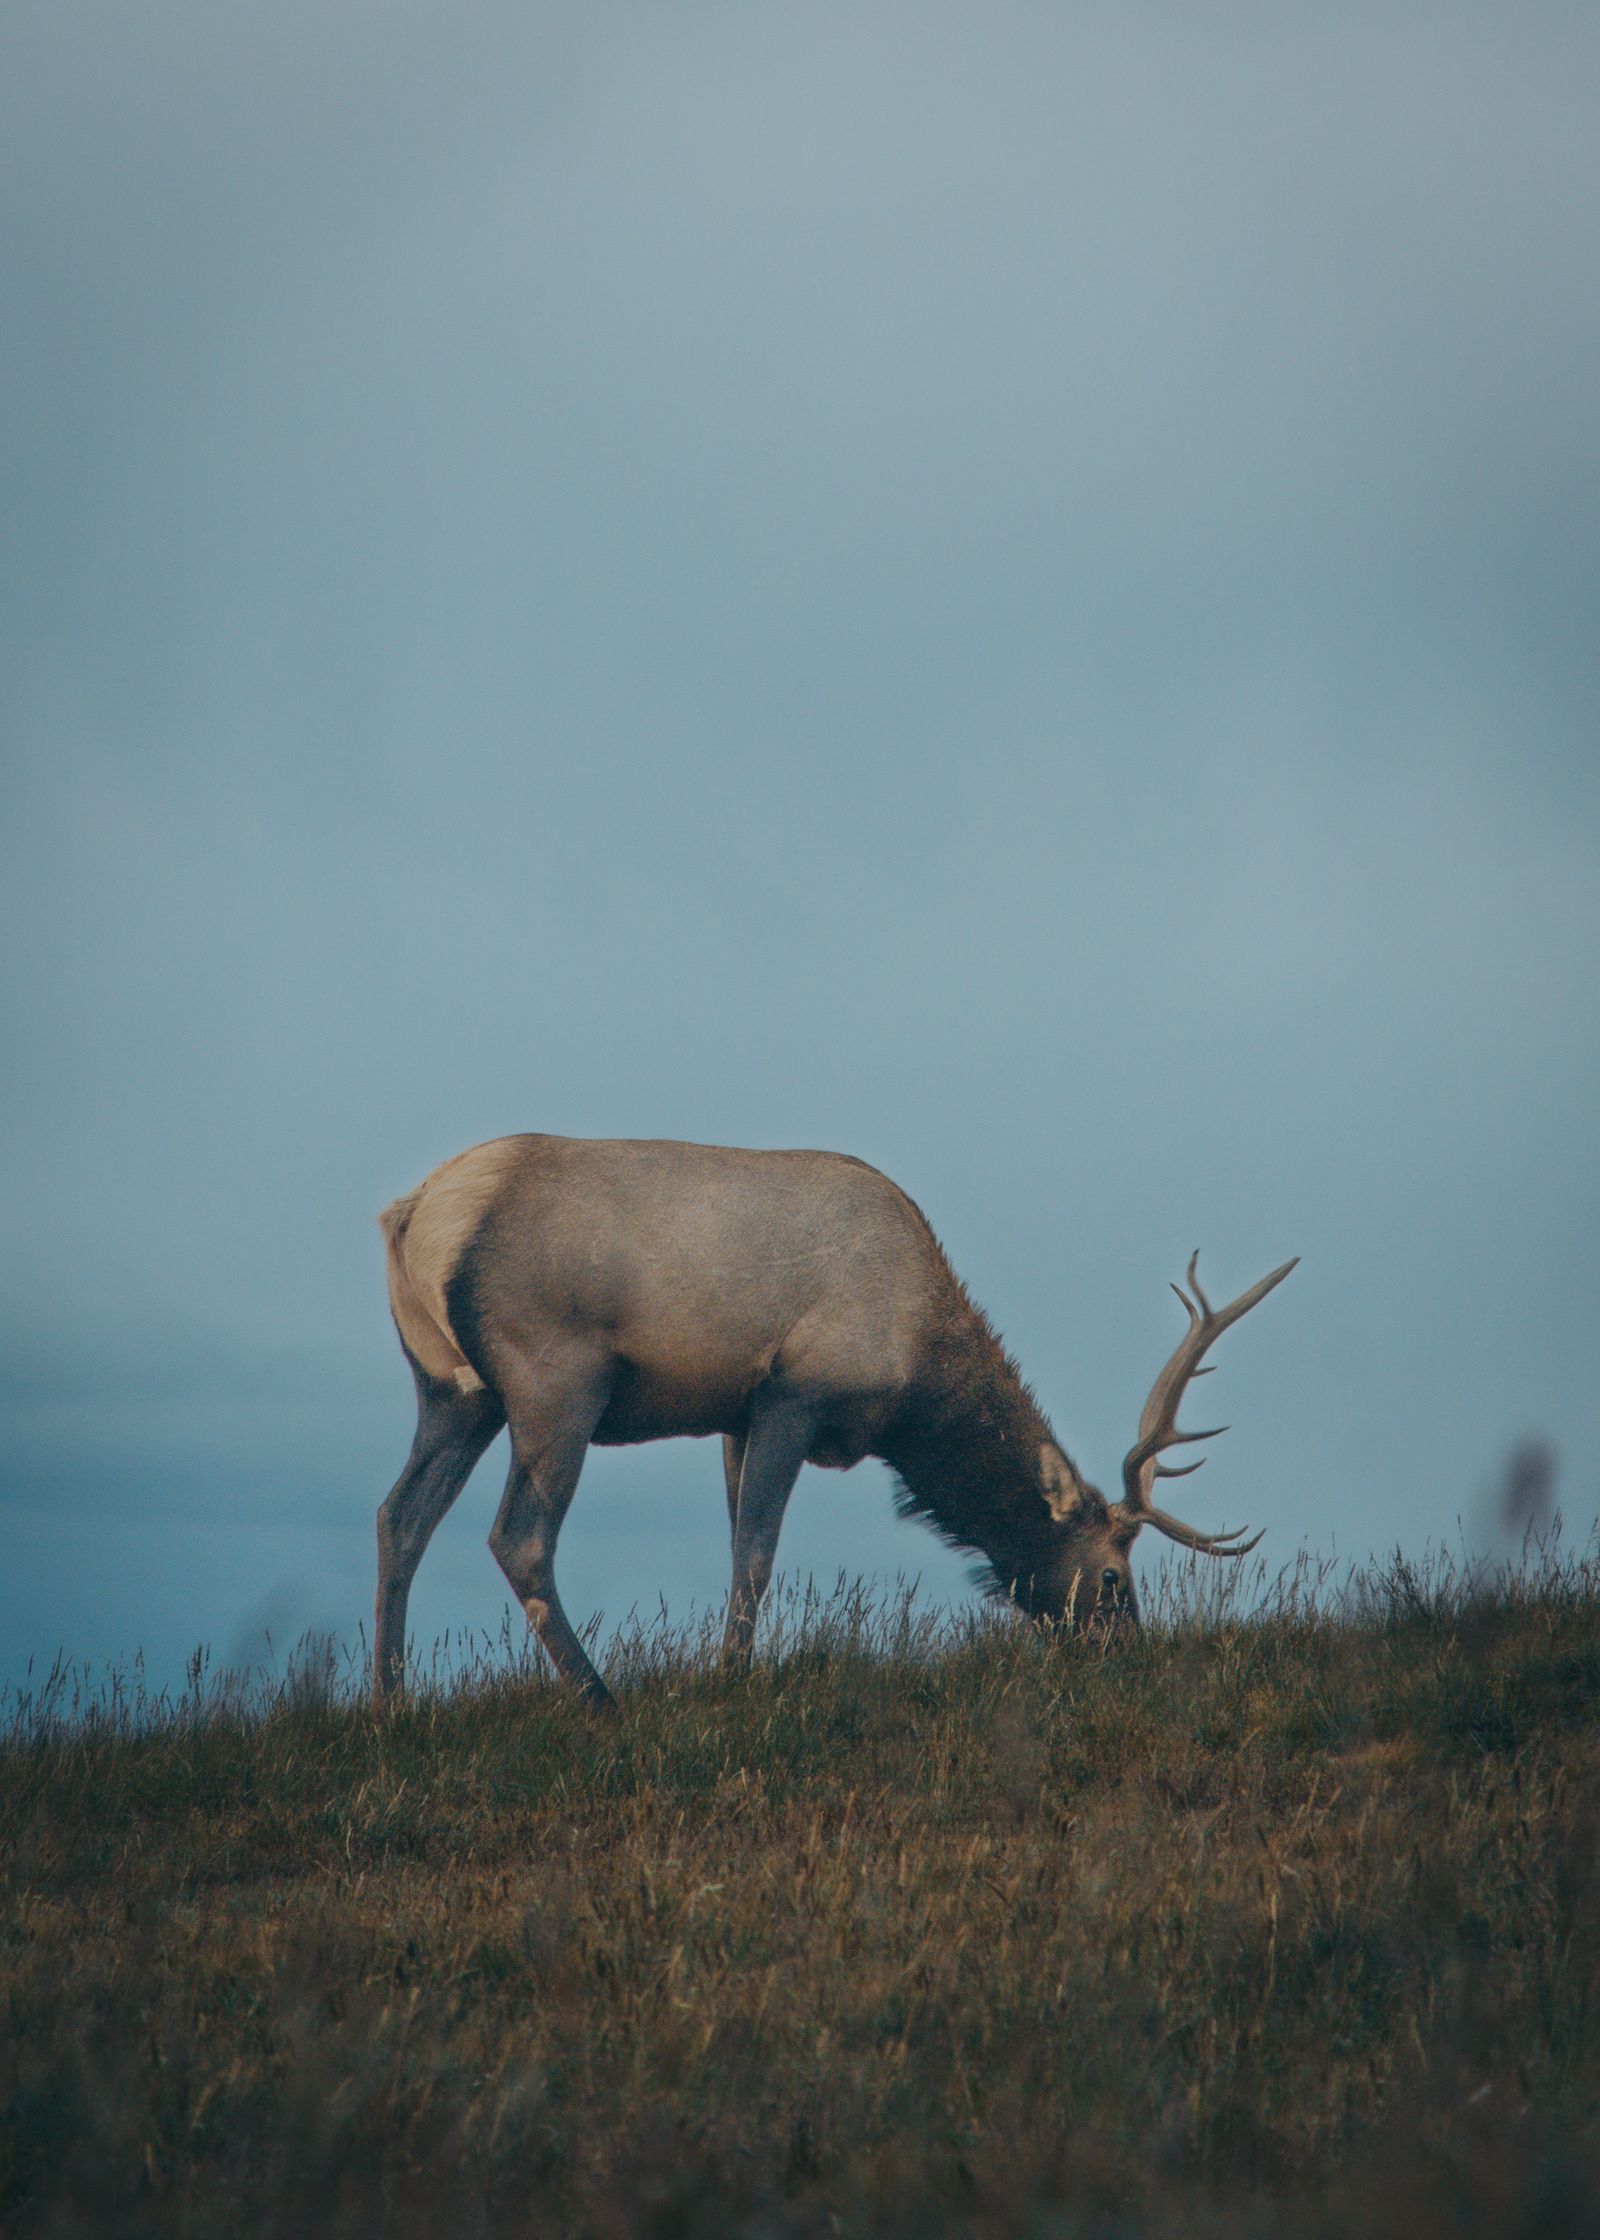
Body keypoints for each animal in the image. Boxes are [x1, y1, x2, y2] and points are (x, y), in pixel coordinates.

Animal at [373, 1133, 1296, 1709]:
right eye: (1110, 1576)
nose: (1130, 1653)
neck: (914, 1371)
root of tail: (412, 1218)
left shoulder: (734, 1415)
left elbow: (736, 1539)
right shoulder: (795, 1390)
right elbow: (755, 1551)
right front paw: (731, 1679)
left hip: (451, 1390)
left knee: (400, 1516)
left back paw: (389, 1700)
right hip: (555, 1379)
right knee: (519, 1536)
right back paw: (599, 1697)